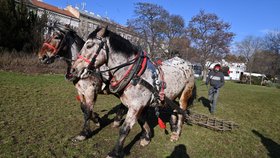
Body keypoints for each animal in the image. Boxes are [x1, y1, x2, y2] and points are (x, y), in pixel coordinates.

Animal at [71, 25, 196, 157]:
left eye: (89, 45)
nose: (73, 69)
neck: (135, 74)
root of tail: (186, 63)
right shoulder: (138, 106)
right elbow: (142, 121)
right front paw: (147, 137)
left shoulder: (136, 106)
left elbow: (124, 129)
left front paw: (114, 152)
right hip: (171, 96)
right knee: (174, 109)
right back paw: (173, 126)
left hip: (185, 93)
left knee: (182, 111)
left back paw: (176, 133)